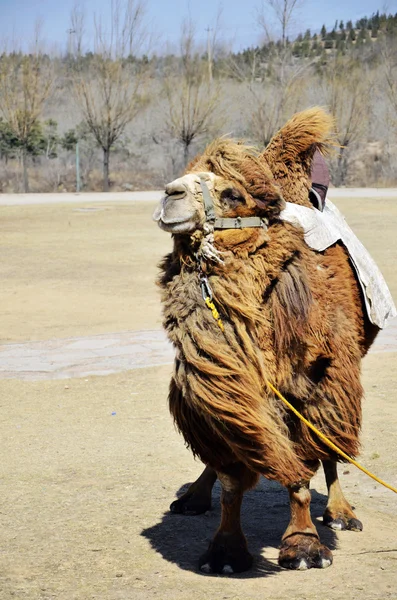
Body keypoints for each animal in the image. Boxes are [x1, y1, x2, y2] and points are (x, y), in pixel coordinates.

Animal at [152, 110, 392, 576]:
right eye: (187, 176)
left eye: (231, 193)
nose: (170, 194)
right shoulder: (220, 389)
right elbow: (230, 473)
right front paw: (226, 552)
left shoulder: (315, 380)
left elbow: (303, 469)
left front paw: (305, 548)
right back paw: (192, 497)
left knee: (331, 448)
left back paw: (341, 512)